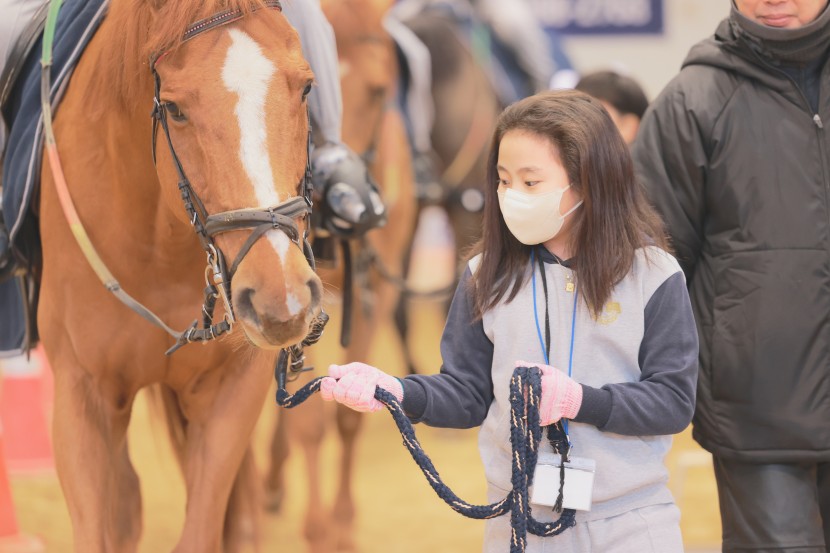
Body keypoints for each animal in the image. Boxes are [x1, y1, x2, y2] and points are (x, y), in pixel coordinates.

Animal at [263, 0, 417, 550]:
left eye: (379, 90)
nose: (345, 207)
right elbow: (309, 425)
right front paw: (317, 529)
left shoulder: (374, 296)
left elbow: (352, 415)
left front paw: (345, 522)